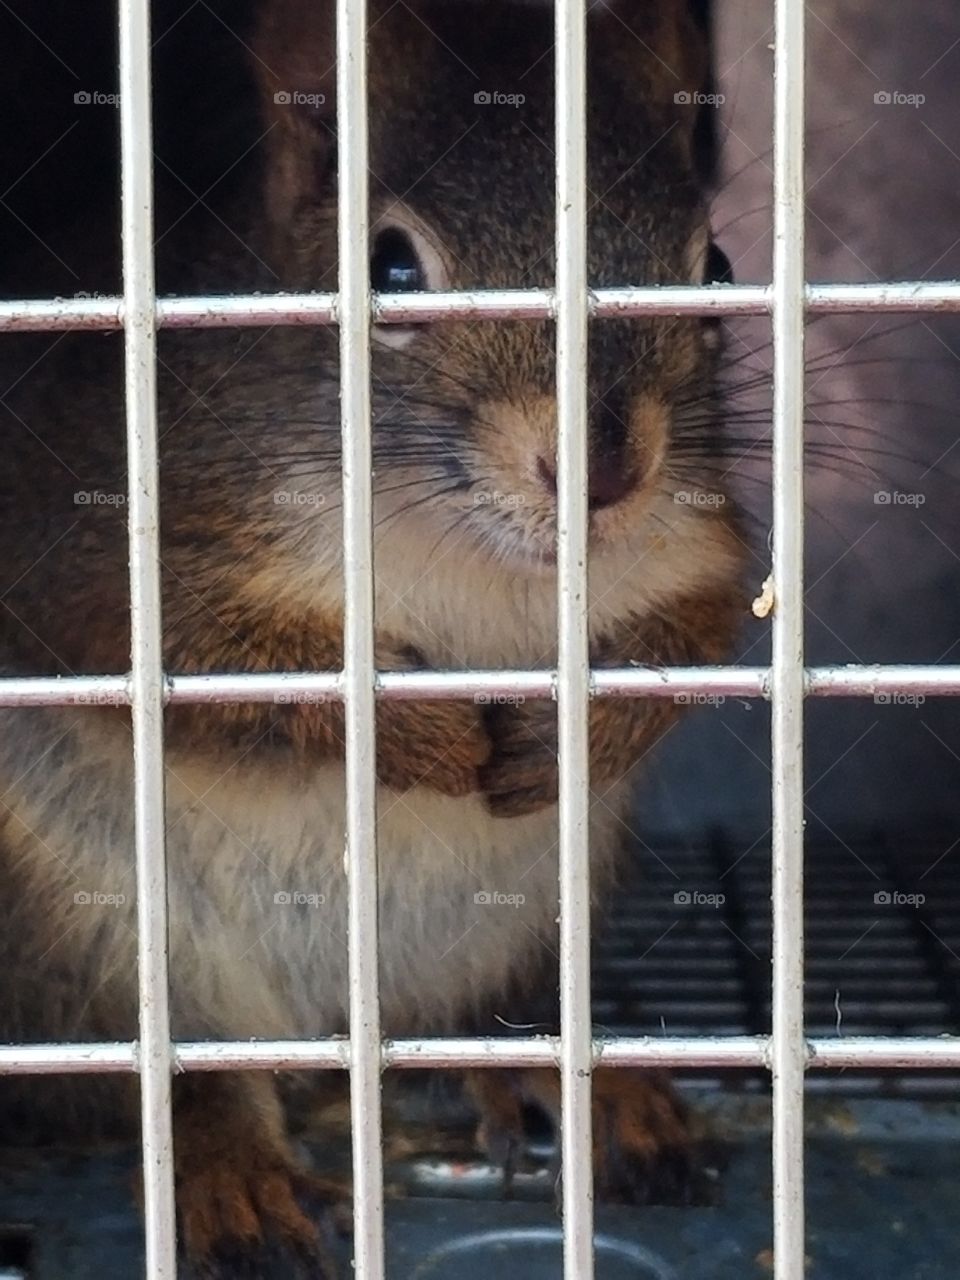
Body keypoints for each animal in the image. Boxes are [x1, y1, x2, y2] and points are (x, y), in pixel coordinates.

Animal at [0, 0, 746, 1274]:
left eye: (717, 271)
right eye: (387, 268)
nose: (604, 471)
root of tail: (329, 1033)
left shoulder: (699, 535)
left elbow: (709, 627)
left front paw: (582, 724)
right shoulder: (93, 530)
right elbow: (168, 655)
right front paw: (422, 729)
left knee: (480, 1018)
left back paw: (589, 1084)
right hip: (74, 934)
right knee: (177, 1082)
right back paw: (238, 1176)